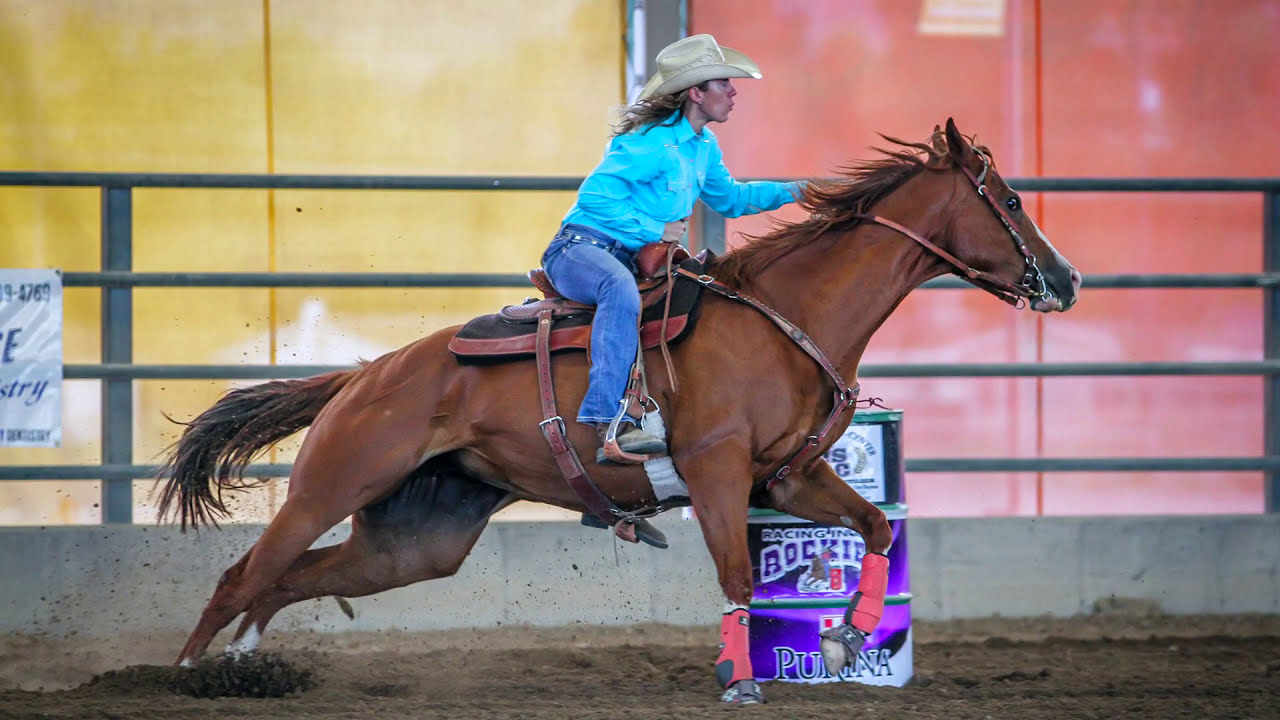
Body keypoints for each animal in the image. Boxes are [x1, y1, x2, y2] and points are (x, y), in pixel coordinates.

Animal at [155, 118, 1081, 704]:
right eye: (1007, 199)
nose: (1066, 279)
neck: (788, 317)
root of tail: (364, 374)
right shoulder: (715, 470)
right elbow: (738, 575)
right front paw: (739, 677)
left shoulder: (789, 477)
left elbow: (879, 528)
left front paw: (849, 638)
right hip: (332, 482)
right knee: (246, 573)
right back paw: (183, 674)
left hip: (418, 538)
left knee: (291, 578)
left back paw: (244, 668)